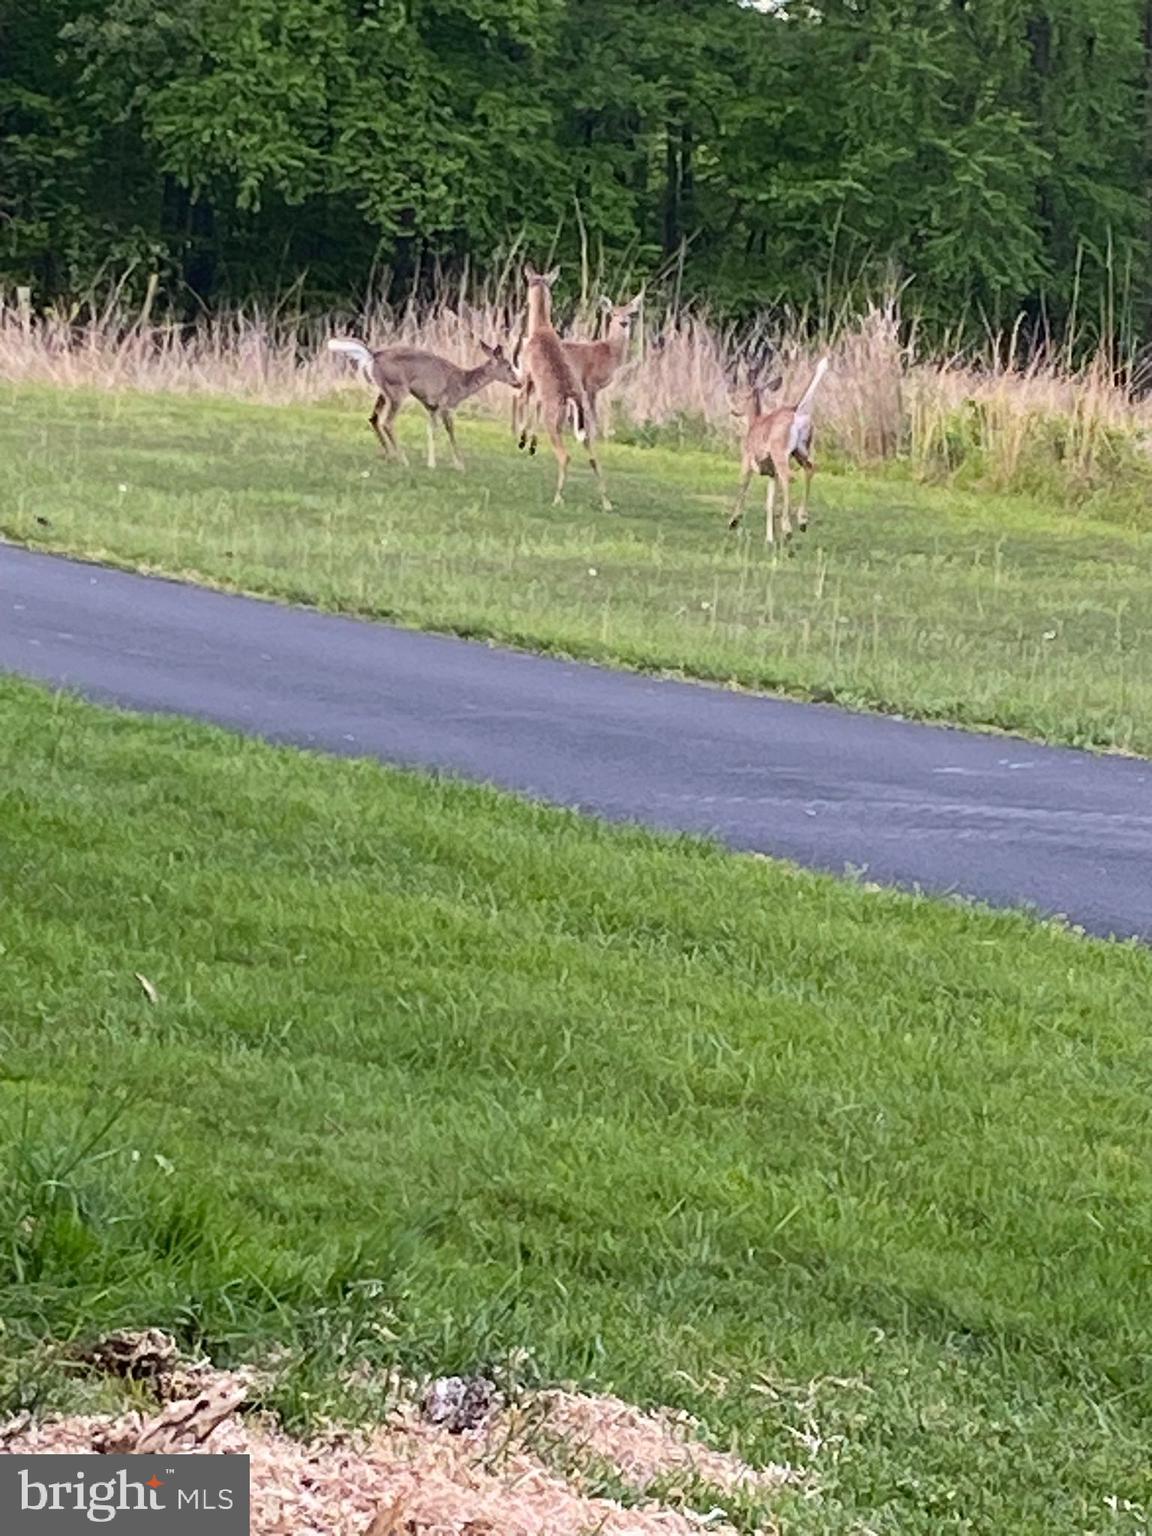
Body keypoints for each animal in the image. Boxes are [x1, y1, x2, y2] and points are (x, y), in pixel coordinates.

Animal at [327, 336, 520, 470]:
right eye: (509, 367)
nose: (519, 383)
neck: (463, 384)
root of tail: (373, 355)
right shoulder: (445, 404)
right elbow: (450, 432)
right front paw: (459, 464)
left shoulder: (431, 407)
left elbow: (431, 430)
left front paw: (431, 463)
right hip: (397, 390)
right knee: (387, 421)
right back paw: (403, 459)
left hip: (383, 392)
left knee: (373, 418)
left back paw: (390, 455)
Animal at [514, 293, 643, 450]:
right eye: (614, 313)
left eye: (630, 313)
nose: (624, 323)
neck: (609, 353)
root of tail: (524, 345)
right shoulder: (591, 382)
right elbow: (592, 413)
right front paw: (592, 437)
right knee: (523, 397)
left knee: (527, 398)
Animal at [518, 265, 612, 511]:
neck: (541, 328)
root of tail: (572, 399)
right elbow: (534, 406)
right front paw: (530, 443)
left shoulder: (528, 375)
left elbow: (523, 400)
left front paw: (522, 440)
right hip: (585, 423)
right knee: (594, 457)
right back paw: (607, 502)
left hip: (554, 421)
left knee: (565, 455)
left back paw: (557, 498)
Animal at [726, 355, 830, 545]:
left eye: (744, 395)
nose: (734, 410)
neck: (754, 422)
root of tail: (797, 412)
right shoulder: (771, 473)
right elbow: (769, 503)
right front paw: (769, 539)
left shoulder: (747, 457)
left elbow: (742, 485)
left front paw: (733, 521)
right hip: (802, 448)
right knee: (810, 468)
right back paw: (802, 521)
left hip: (780, 450)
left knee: (789, 477)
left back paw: (788, 528)